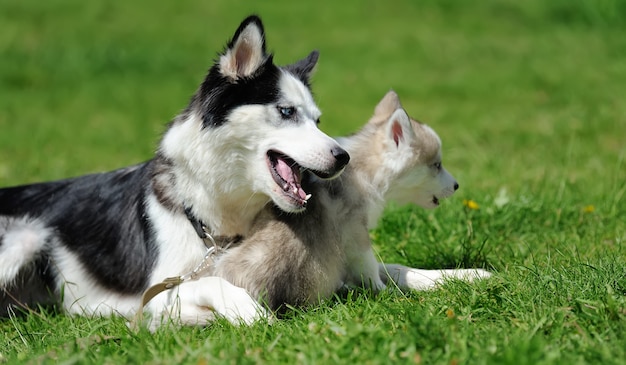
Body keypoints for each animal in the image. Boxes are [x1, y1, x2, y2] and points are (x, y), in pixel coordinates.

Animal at [0, 14, 348, 322]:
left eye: (317, 121)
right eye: (286, 111)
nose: (343, 156)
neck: (210, 220)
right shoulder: (158, 291)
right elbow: (212, 282)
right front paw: (247, 309)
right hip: (25, 237)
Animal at [207, 91, 490, 316]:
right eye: (436, 165)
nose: (457, 186)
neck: (366, 171)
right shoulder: (356, 234)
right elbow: (371, 271)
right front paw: (386, 293)